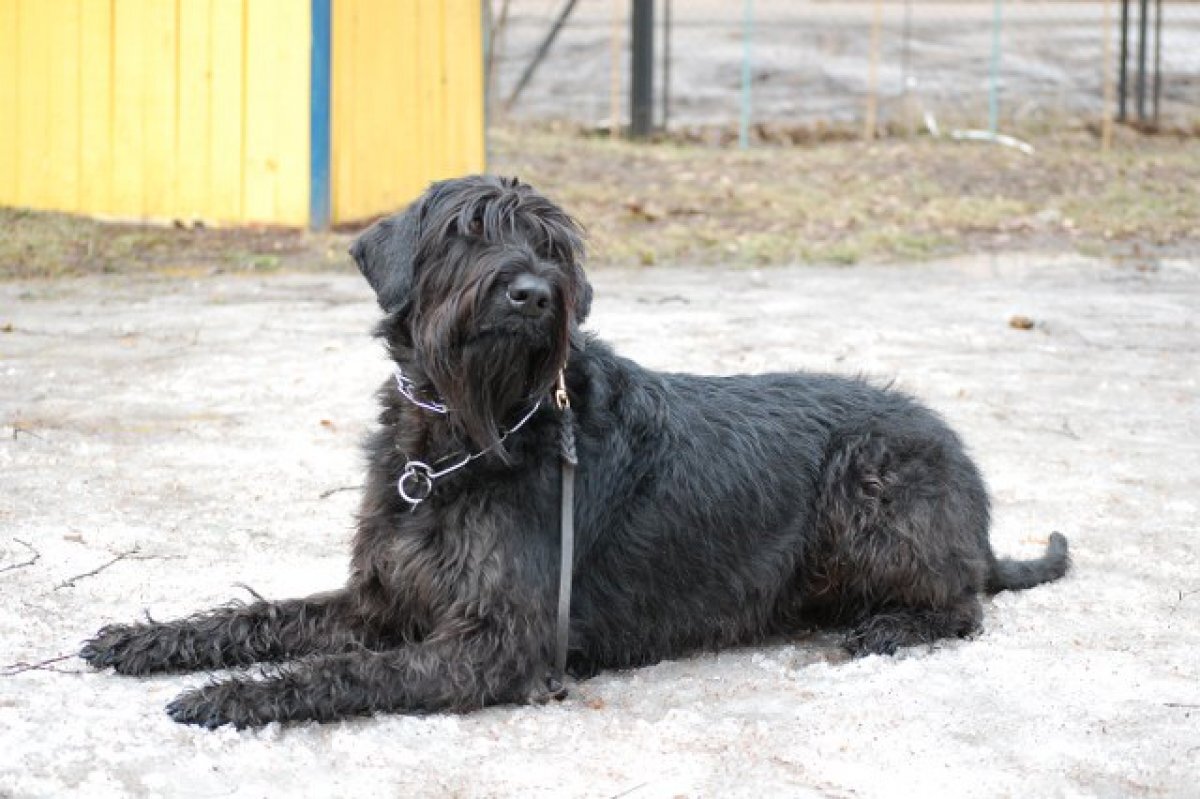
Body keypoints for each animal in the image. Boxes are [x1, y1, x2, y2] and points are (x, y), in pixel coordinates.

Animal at [79, 176, 1070, 729]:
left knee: (963, 603)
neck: (468, 436)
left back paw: (893, 624)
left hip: (871, 485)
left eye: (553, 244)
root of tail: (974, 498)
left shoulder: (496, 641)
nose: (530, 291)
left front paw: (236, 696)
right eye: (467, 231)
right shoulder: (379, 597)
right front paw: (149, 639)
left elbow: (346, 670)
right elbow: (263, 615)